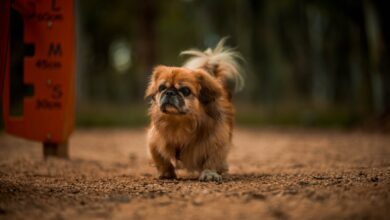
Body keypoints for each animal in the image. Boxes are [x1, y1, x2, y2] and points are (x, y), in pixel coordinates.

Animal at [145, 38, 244, 181]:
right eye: (162, 88)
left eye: (185, 90)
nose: (169, 92)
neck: (179, 123)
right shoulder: (154, 140)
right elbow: (160, 158)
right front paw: (165, 173)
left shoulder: (217, 140)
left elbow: (212, 159)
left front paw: (209, 173)